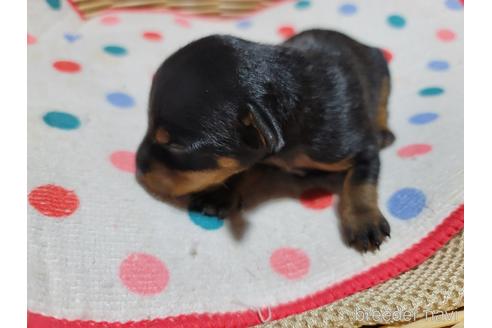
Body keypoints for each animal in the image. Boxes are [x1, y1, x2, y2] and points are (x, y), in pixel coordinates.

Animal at [135, 30, 396, 251]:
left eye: (177, 146)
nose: (137, 167)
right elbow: (241, 170)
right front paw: (218, 196)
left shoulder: (358, 148)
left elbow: (359, 181)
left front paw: (364, 221)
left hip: (381, 71)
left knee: (382, 104)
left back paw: (384, 133)